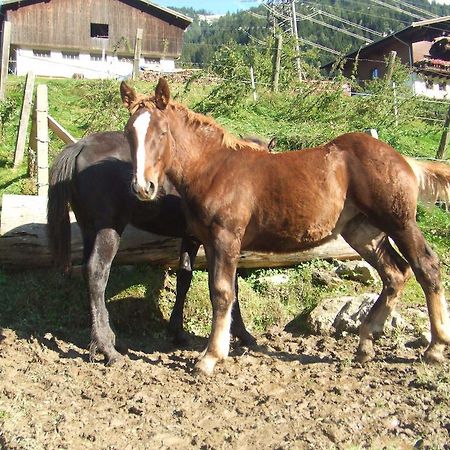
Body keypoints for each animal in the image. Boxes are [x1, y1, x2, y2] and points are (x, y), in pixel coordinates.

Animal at [120, 79, 450, 374]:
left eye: (162, 132)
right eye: (129, 132)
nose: (142, 187)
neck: (213, 169)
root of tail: (405, 160)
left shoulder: (225, 238)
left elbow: (222, 293)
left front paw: (210, 358)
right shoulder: (209, 242)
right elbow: (224, 291)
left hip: (399, 223)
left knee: (426, 266)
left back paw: (434, 349)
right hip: (363, 232)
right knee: (395, 273)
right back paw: (366, 344)